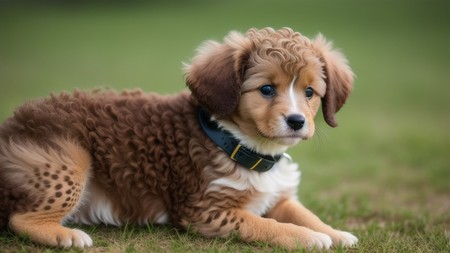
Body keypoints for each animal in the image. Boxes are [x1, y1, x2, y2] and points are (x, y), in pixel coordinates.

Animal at [0, 27, 358, 249]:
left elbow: (305, 214)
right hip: (69, 160)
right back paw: (66, 236)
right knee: (20, 218)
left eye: (310, 92)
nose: (297, 121)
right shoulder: (207, 210)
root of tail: (11, 125)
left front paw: (335, 233)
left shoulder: (279, 198)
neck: (240, 144)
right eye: (266, 89)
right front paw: (307, 238)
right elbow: (265, 225)